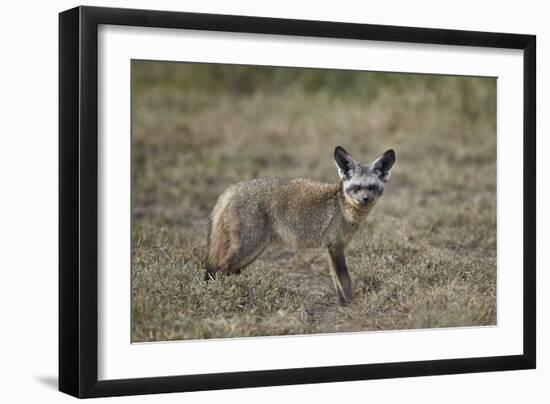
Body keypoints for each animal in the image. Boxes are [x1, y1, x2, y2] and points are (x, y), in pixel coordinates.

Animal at [205, 147, 394, 304]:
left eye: (372, 187)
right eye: (357, 187)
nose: (365, 199)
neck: (342, 207)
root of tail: (230, 190)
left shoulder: (332, 248)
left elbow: (336, 280)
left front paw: (342, 303)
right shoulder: (335, 247)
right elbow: (344, 280)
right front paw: (352, 304)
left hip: (252, 253)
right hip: (249, 249)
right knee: (218, 270)